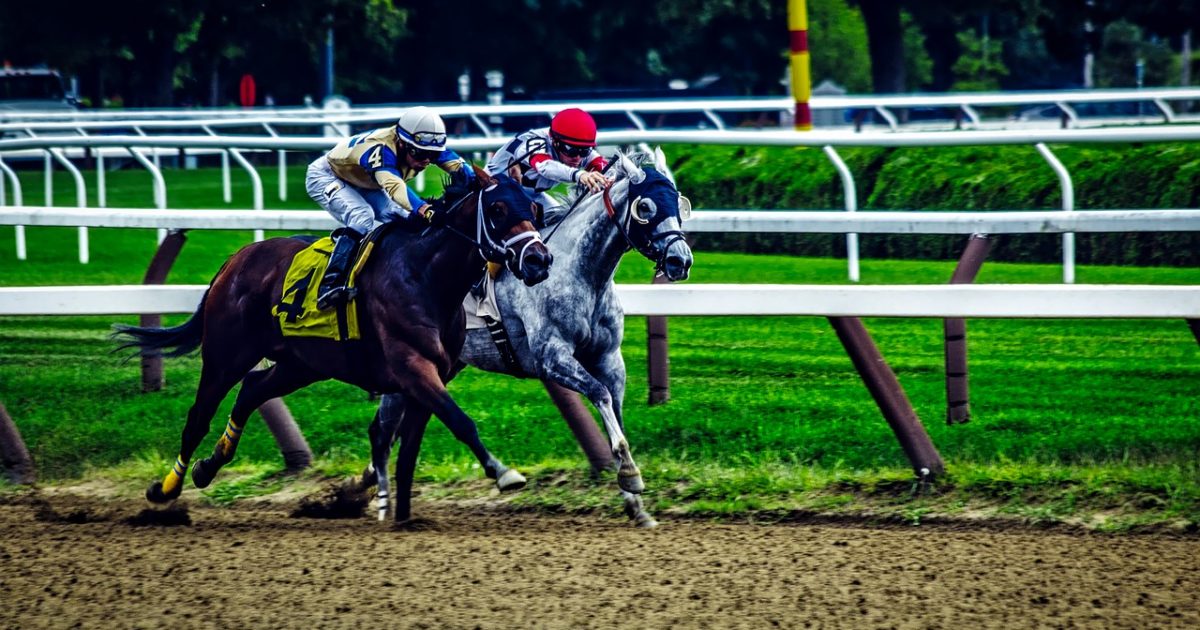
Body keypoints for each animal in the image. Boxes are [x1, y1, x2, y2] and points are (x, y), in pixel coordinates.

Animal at [113, 167, 553, 516]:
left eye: (534, 210)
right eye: (497, 209)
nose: (539, 261)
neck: (426, 275)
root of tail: (235, 259)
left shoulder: (432, 375)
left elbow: (409, 447)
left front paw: (402, 515)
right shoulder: (413, 367)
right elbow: (460, 421)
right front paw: (504, 473)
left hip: (301, 364)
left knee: (252, 390)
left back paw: (208, 466)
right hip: (226, 356)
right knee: (198, 418)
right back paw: (166, 489)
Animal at [367, 148, 693, 527]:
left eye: (680, 203)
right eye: (647, 207)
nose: (680, 260)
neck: (580, 271)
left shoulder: (609, 357)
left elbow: (615, 409)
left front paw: (636, 503)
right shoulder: (551, 357)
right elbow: (599, 394)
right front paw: (629, 474)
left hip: (440, 370)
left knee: (391, 430)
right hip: (407, 366)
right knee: (382, 433)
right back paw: (379, 502)